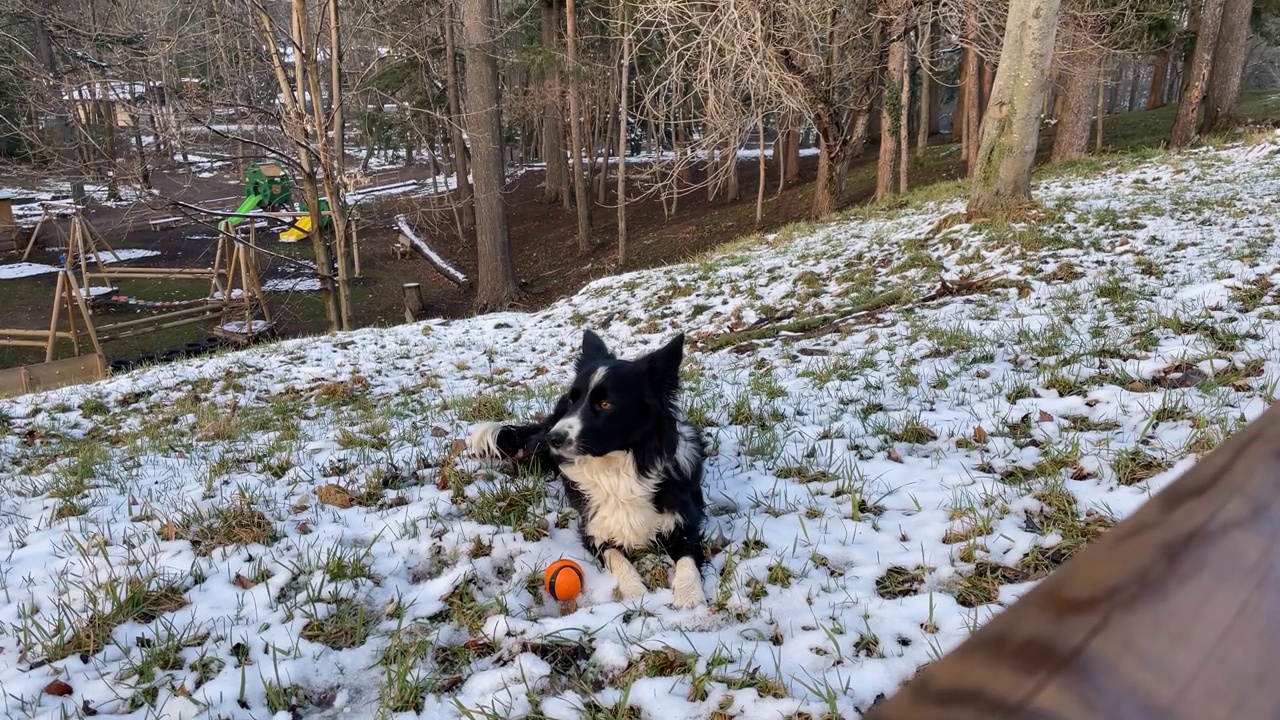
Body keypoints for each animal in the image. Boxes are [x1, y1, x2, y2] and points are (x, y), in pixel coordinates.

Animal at [471, 330, 711, 604]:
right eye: (575, 399)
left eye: (605, 404)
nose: (554, 439)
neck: (619, 466)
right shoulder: (594, 529)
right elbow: (617, 558)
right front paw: (635, 592)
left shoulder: (684, 522)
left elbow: (687, 560)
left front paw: (689, 596)